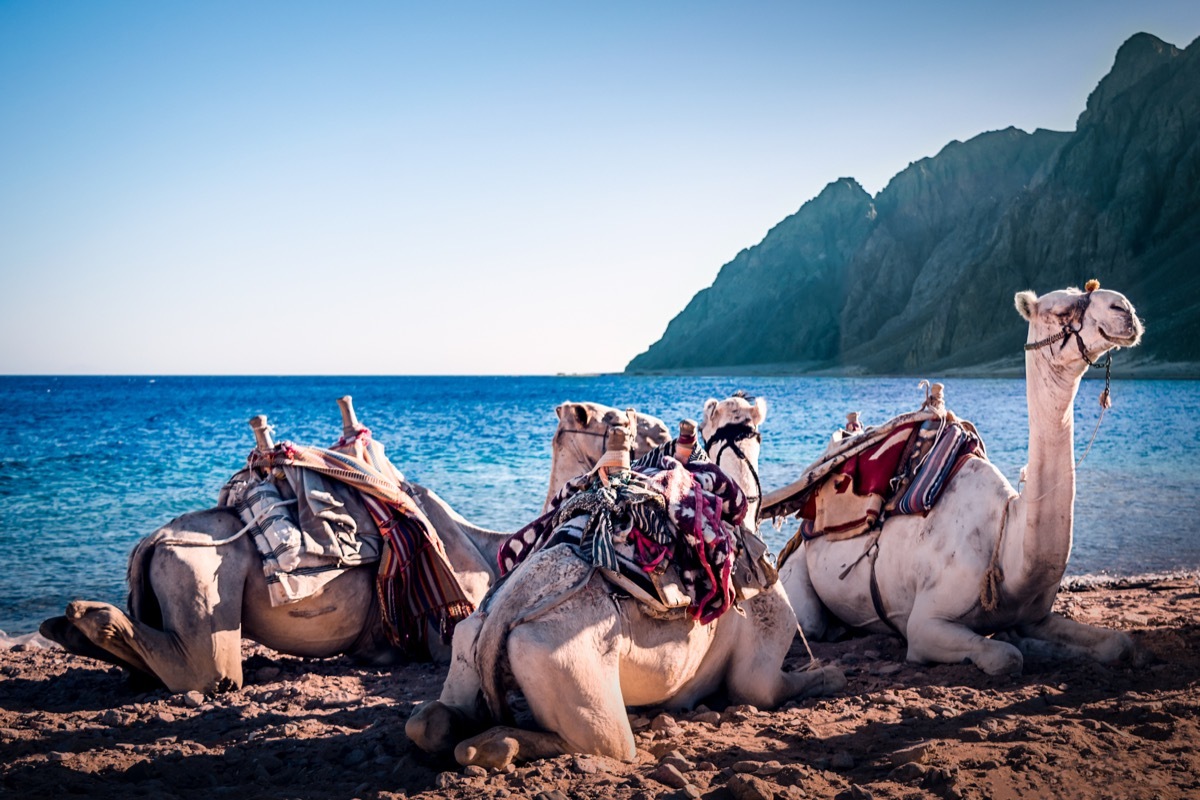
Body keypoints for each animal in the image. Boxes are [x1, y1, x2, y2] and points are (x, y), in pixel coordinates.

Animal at [40, 399, 667, 694]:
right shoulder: (446, 622)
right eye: (611, 418)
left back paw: (67, 628)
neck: (490, 549)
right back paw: (82, 618)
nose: (663, 429)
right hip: (196, 578)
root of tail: (152, 541)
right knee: (203, 671)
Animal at [406, 395, 845, 768]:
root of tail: (501, 617)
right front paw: (833, 673)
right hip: (568, 670)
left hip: (467, 641)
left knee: (427, 723)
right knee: (601, 744)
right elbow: (780, 685)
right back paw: (501, 746)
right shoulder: (759, 675)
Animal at [777, 284, 1144, 675]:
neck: (1006, 543)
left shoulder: (1036, 616)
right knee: (812, 623)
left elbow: (1120, 644)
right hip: (800, 581)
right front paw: (1016, 646)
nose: (1124, 309)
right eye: (1061, 310)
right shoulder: (925, 623)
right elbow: (1004, 656)